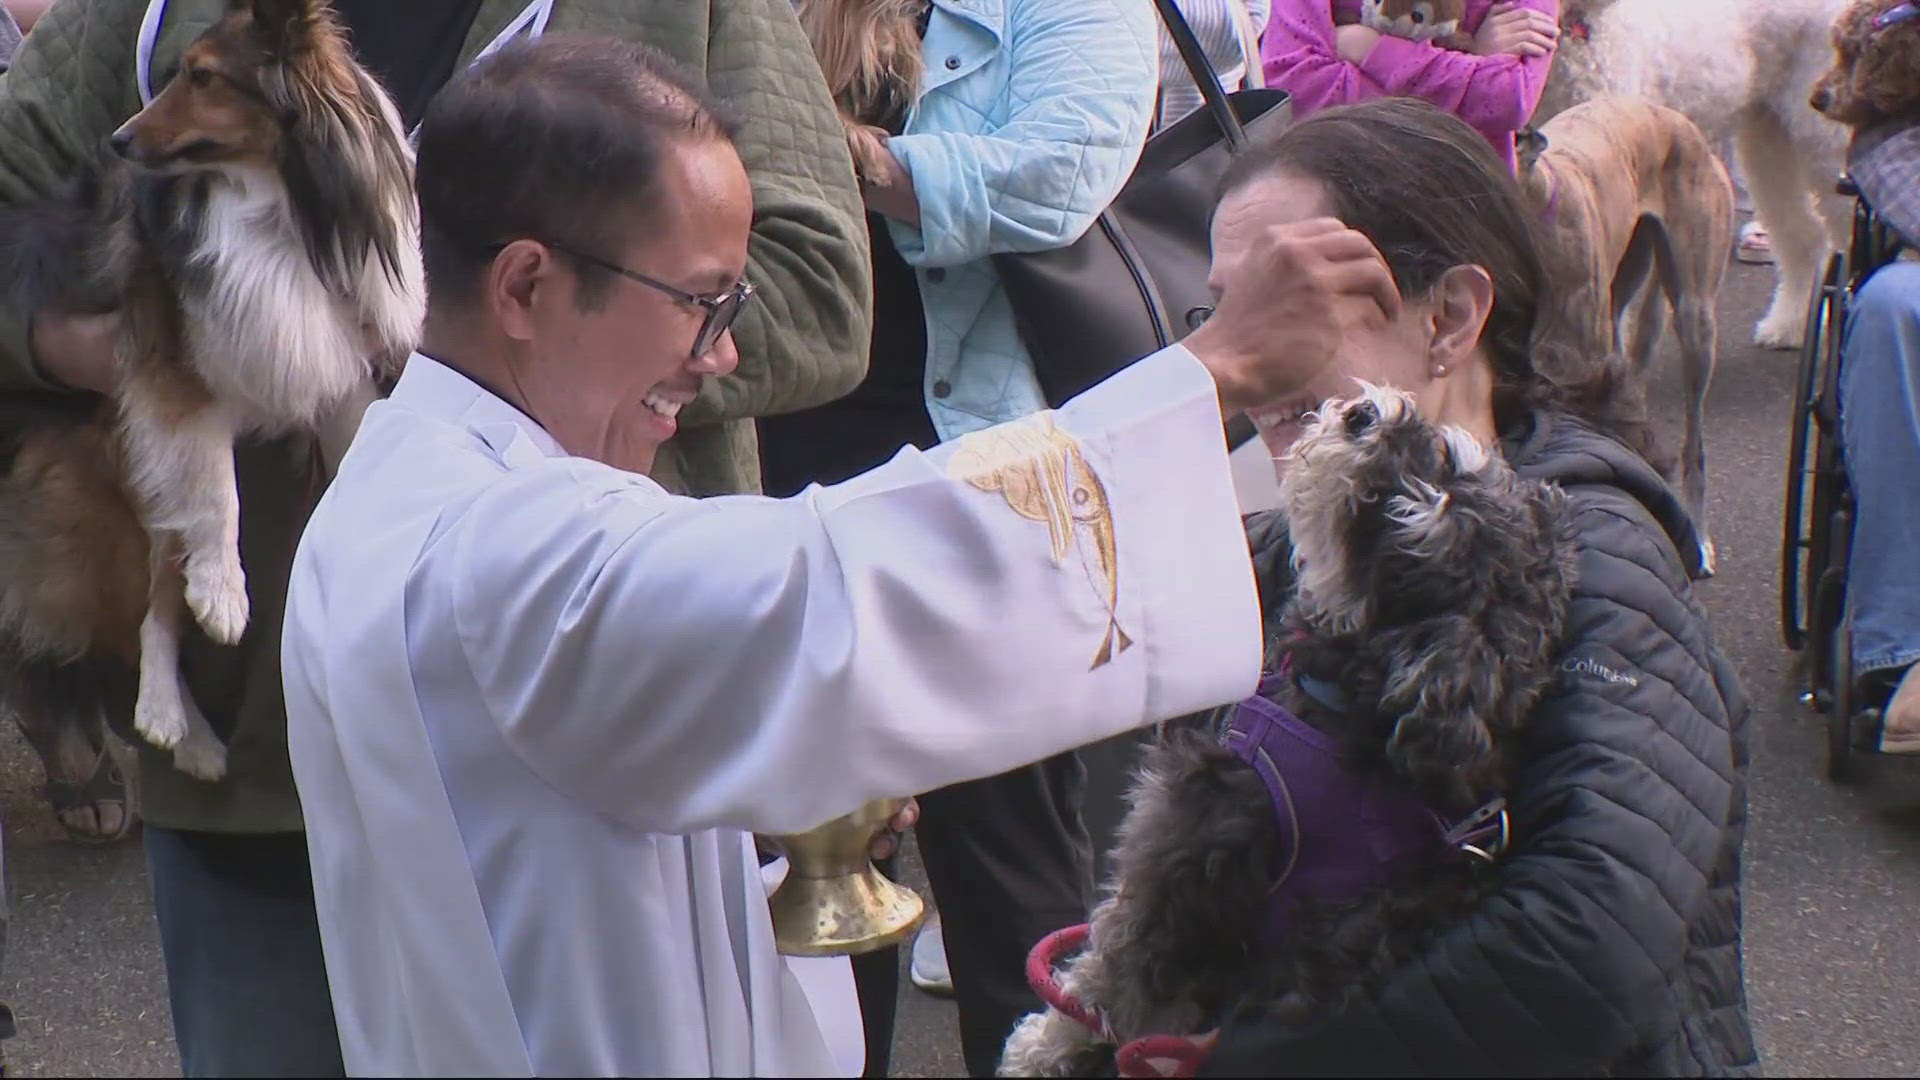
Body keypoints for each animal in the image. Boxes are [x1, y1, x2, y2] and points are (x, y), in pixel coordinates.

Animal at [0, 0, 422, 776]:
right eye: (176, 71)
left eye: (203, 78)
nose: (119, 140)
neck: (283, 203)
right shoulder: (175, 375)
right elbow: (217, 494)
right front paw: (224, 594)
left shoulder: (335, 358)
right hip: (124, 478)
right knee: (150, 610)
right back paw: (178, 724)